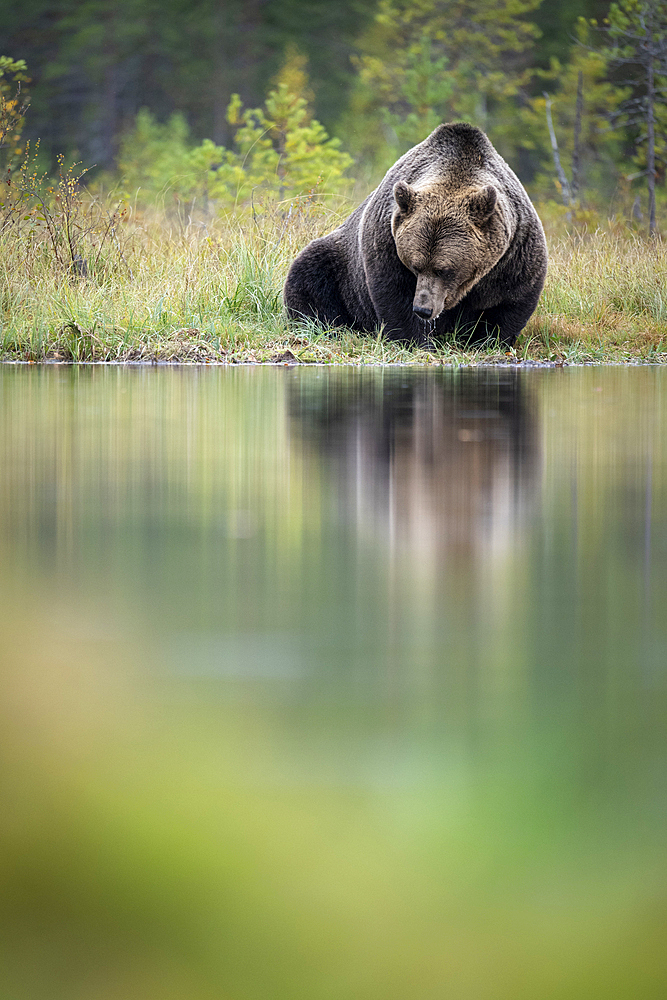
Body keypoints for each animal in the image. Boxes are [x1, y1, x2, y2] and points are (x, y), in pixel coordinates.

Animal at [282, 124, 548, 348]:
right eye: (415, 266)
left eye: (444, 269)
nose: (423, 309)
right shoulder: (387, 239)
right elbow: (394, 294)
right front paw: (416, 340)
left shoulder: (513, 253)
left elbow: (509, 301)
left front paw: (488, 341)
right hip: (341, 266)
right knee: (310, 273)